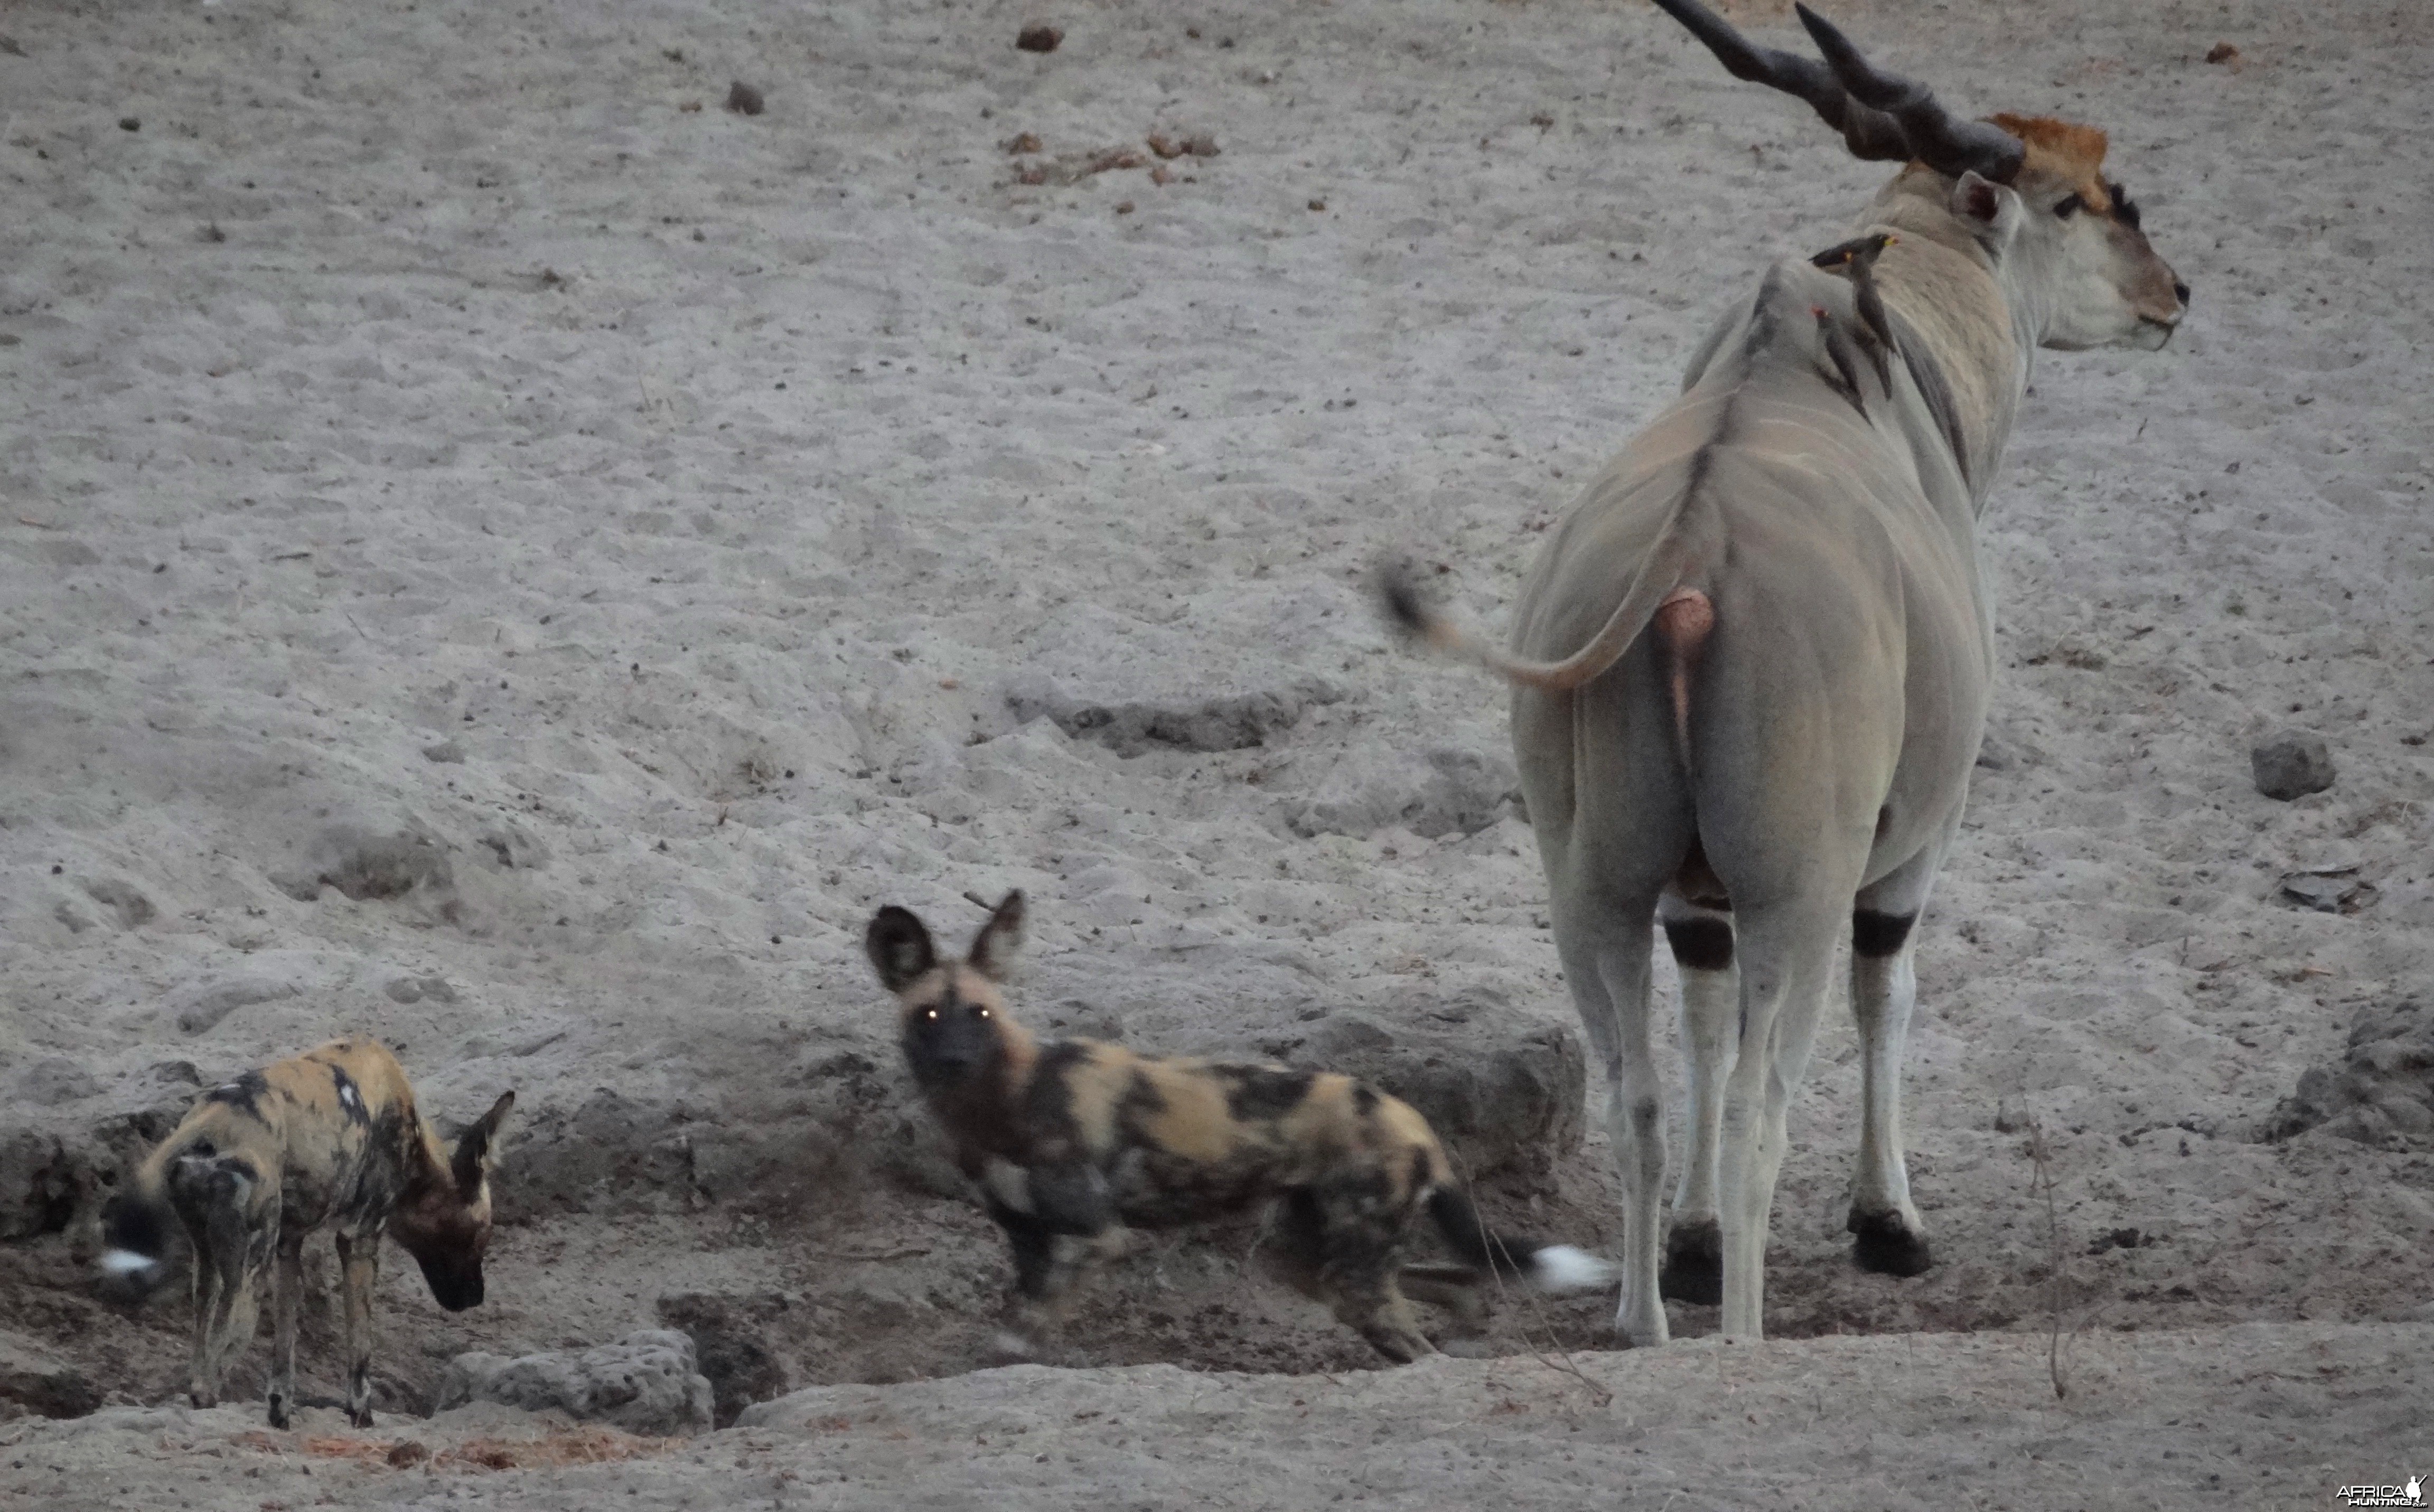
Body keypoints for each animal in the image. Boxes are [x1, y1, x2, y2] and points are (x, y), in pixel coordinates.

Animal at [99, 1037, 513, 1431]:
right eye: (481, 1234)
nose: (476, 1297)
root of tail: (210, 1122)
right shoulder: (359, 1240)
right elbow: (360, 1352)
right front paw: (361, 1417)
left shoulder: (290, 1245)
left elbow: (285, 1351)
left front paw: (280, 1415)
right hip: (252, 1273)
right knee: (215, 1370)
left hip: (211, 1265)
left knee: (202, 1343)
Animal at [862, 891, 1616, 1363]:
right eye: (930, 1015)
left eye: (982, 1014)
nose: (956, 1061)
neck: (1002, 1098)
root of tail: (1409, 1114)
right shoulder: (1029, 1241)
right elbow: (1022, 1323)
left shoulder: (1098, 1237)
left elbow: (1025, 1330)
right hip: (1311, 1261)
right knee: (1454, 1283)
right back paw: (1465, 1330)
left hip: (1347, 1273)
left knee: (1418, 1336)